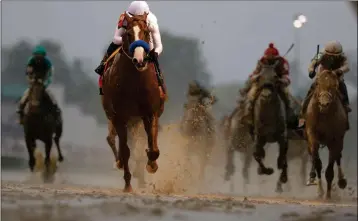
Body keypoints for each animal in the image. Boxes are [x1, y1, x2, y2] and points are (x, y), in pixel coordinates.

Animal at [102, 12, 165, 192]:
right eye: (128, 33)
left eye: (146, 32)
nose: (139, 60)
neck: (135, 83)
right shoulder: (119, 116)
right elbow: (125, 150)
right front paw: (128, 184)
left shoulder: (150, 113)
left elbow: (153, 148)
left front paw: (152, 165)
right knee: (116, 141)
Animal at [304, 69, 348, 199]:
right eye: (318, 83)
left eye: (335, 86)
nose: (324, 104)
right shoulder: (312, 136)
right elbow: (317, 161)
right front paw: (320, 190)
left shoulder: (335, 139)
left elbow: (330, 168)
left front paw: (328, 195)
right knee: (313, 156)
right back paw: (311, 177)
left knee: (338, 156)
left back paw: (341, 180)